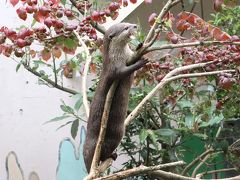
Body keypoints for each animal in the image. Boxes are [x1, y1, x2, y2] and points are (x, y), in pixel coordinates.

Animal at [82, 22, 147, 173]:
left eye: (129, 24)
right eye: (125, 28)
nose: (135, 26)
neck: (121, 54)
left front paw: (139, 46)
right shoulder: (114, 66)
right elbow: (122, 72)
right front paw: (140, 62)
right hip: (115, 134)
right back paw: (110, 155)